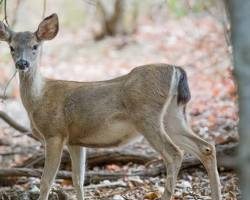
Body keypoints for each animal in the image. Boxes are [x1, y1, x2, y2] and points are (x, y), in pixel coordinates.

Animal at [0, 13, 223, 199]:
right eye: (11, 47)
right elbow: (77, 180)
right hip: (173, 115)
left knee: (175, 153)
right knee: (206, 147)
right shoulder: (75, 140)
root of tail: (176, 69)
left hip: (147, 116)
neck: (39, 98)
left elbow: (46, 181)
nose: (22, 64)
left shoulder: (55, 133)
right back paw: (216, 194)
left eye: (35, 46)